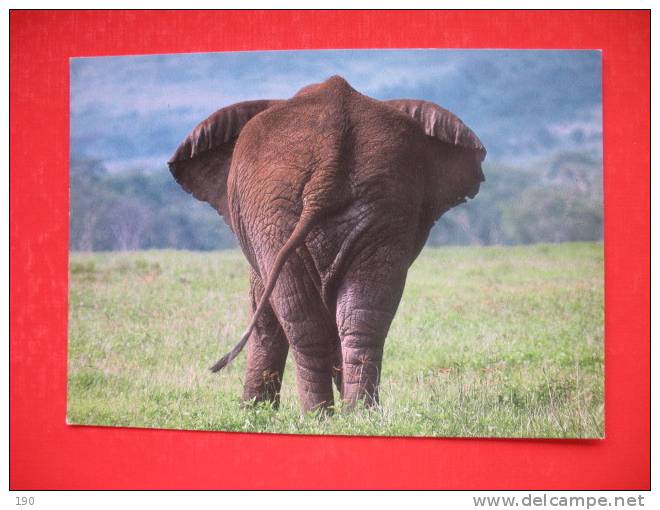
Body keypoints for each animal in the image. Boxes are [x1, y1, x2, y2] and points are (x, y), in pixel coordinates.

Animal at [166, 73, 484, 412]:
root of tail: (330, 155)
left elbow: (263, 308)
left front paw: (253, 412)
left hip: (276, 216)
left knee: (304, 322)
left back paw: (318, 416)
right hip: (382, 201)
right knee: (363, 317)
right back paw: (360, 414)